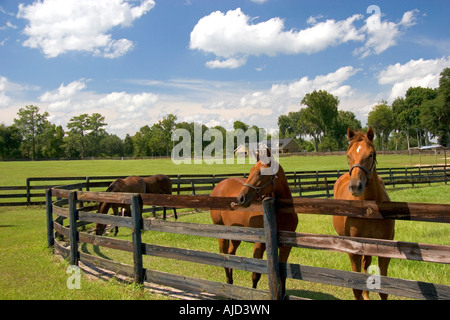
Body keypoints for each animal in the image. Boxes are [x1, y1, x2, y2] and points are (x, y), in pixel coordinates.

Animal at [211, 149, 298, 296]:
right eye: (251, 171)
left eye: (261, 173)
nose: (240, 198)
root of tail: (219, 186)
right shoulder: (259, 244)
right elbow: (255, 275)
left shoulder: (286, 246)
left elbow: (283, 276)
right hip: (221, 233)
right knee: (224, 257)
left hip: (236, 236)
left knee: (231, 254)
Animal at [332, 128, 396, 300]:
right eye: (348, 155)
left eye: (371, 154)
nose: (355, 186)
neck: (369, 209)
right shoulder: (354, 250)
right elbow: (356, 287)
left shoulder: (385, 248)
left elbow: (384, 289)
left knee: (366, 265)